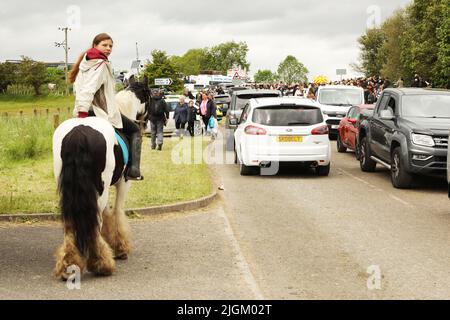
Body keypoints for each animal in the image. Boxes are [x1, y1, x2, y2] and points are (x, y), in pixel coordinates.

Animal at [52, 76, 151, 278]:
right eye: (151, 97)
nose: (146, 124)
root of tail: (78, 132)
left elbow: (107, 214)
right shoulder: (123, 183)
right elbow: (117, 212)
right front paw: (120, 248)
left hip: (70, 190)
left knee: (70, 224)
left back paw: (69, 263)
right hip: (100, 189)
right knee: (94, 221)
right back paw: (101, 263)